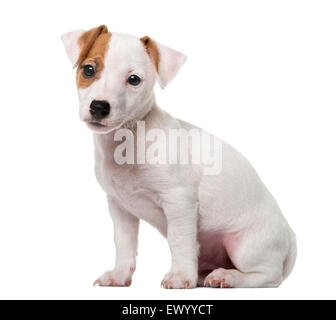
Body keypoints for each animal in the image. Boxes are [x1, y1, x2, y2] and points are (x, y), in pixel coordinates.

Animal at [61, 25, 296, 288]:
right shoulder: (120, 207)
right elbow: (124, 244)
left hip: (245, 247)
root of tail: (289, 235)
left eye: (134, 80)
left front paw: (181, 275)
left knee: (269, 276)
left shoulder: (179, 201)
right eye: (88, 69)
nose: (99, 107)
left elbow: (179, 240)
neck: (128, 142)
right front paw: (119, 275)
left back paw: (227, 276)